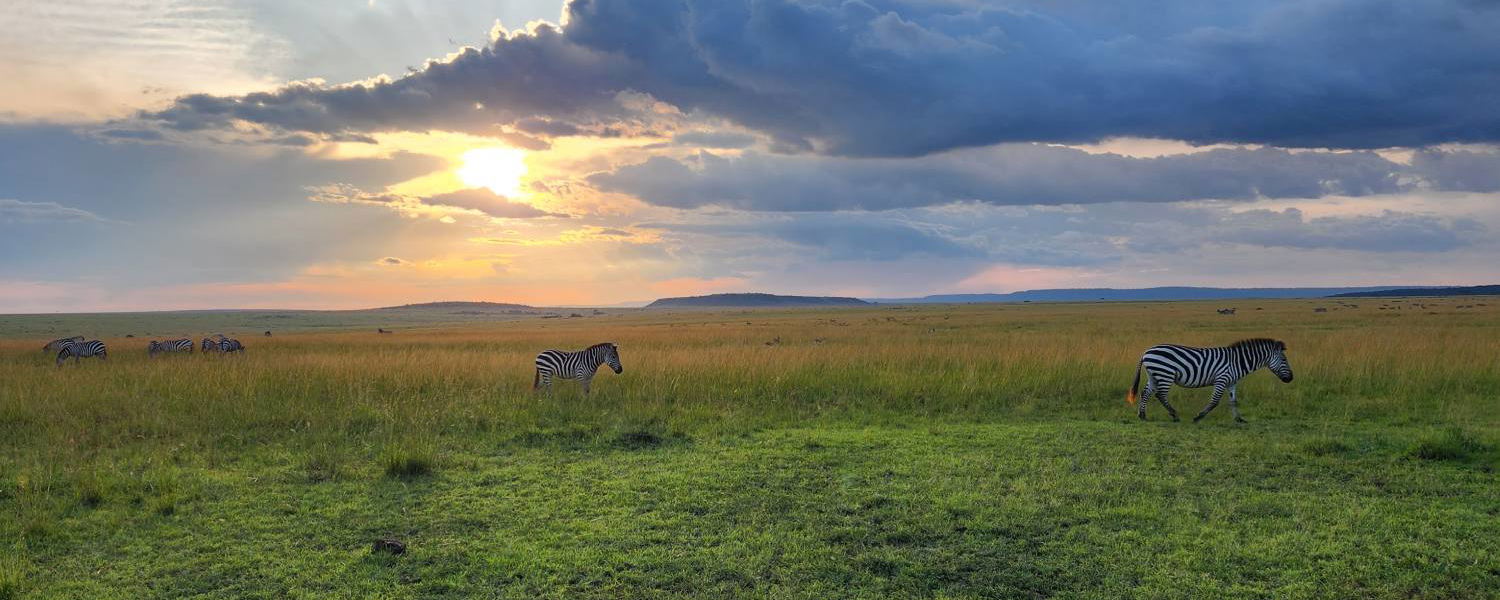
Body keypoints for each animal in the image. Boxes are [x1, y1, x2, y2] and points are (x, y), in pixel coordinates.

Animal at [1127, 338, 1294, 423]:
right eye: (1284, 360)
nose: (1291, 378)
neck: (1237, 361)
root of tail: (1146, 352)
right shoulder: (1222, 379)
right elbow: (1214, 401)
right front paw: (1199, 416)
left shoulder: (1231, 382)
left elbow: (1233, 401)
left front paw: (1239, 419)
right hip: (1165, 374)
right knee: (1160, 395)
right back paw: (1174, 415)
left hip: (1154, 375)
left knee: (1145, 393)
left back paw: (1142, 415)